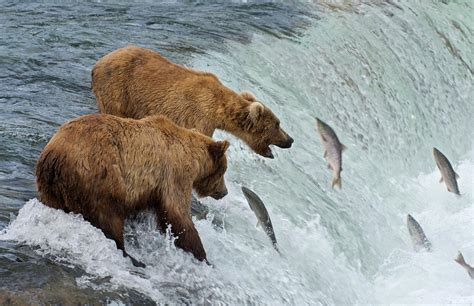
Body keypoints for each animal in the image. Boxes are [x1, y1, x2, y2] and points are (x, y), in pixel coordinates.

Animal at [35, 113, 230, 266]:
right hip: (101, 177)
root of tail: (55, 156)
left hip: (50, 187)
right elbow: (177, 213)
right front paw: (204, 257)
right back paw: (133, 257)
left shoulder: (149, 189)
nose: (224, 192)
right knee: (108, 216)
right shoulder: (175, 174)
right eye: (224, 170)